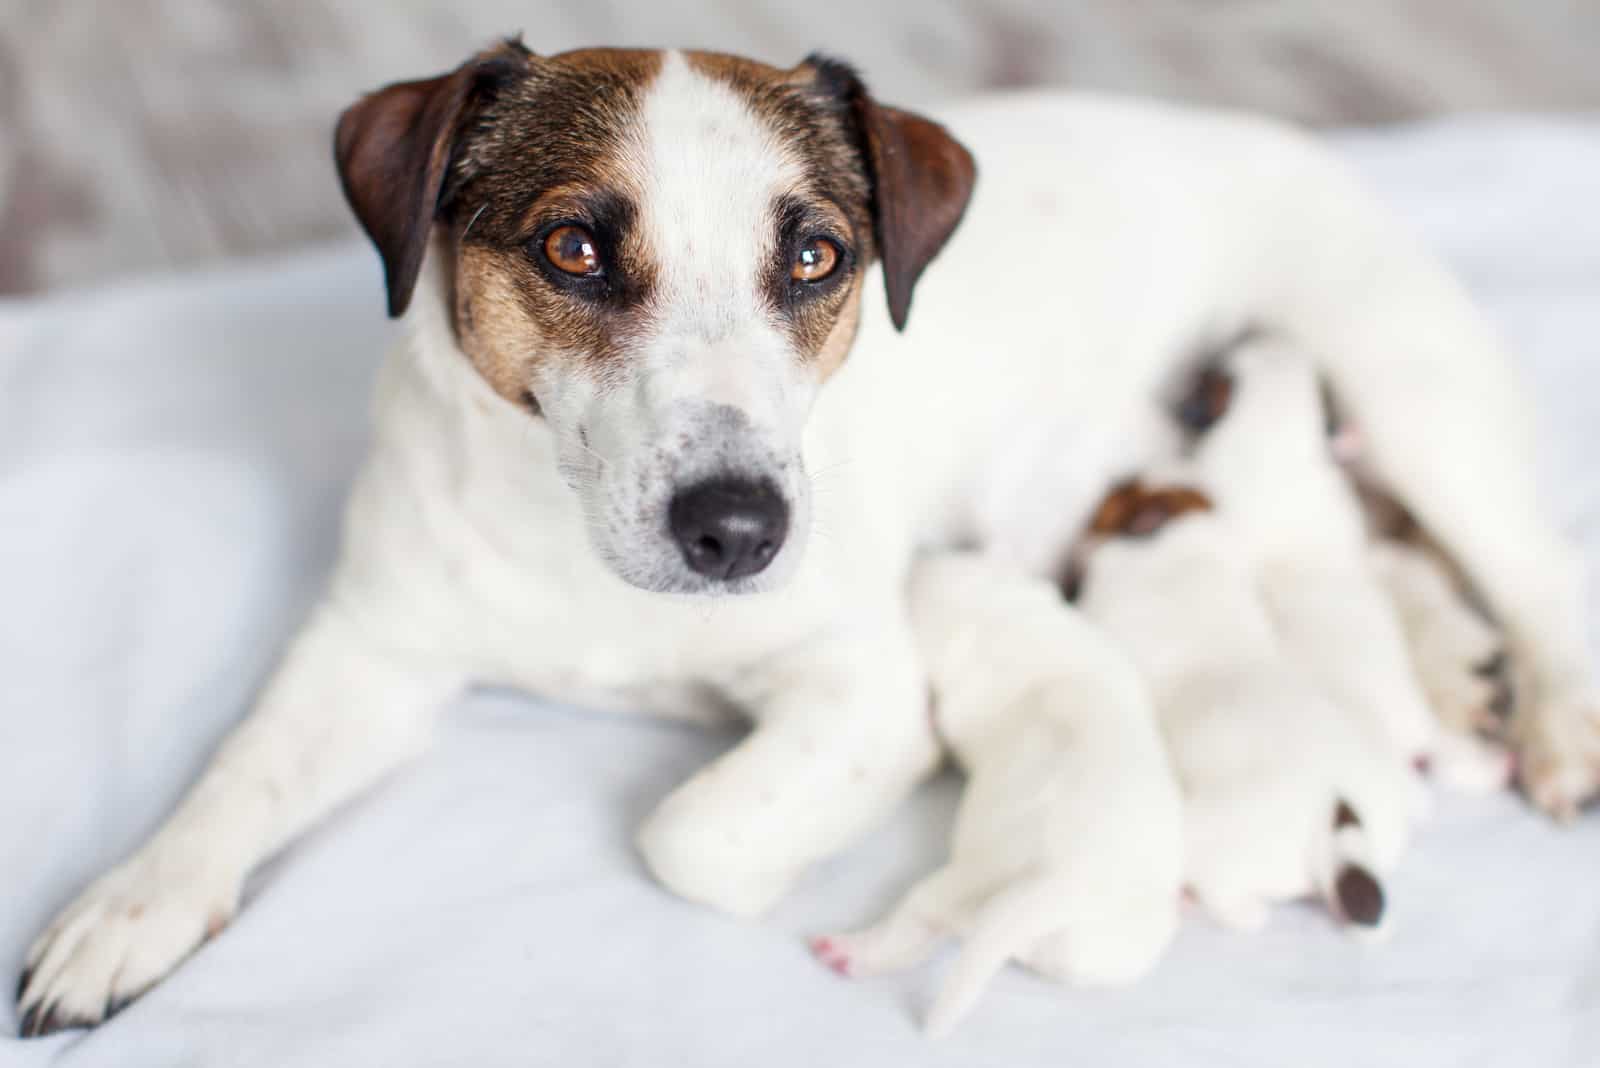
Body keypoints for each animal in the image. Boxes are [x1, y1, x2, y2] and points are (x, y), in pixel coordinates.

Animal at [819, 549, 1184, 1036]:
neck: (1023, 626)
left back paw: (852, 952)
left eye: (915, 595)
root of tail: (1062, 884)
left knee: (915, 926)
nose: (924, 555)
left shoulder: (966, 702)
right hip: (1111, 947)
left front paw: (930, 713)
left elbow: (949, 721)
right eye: (964, 555)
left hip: (960, 887)